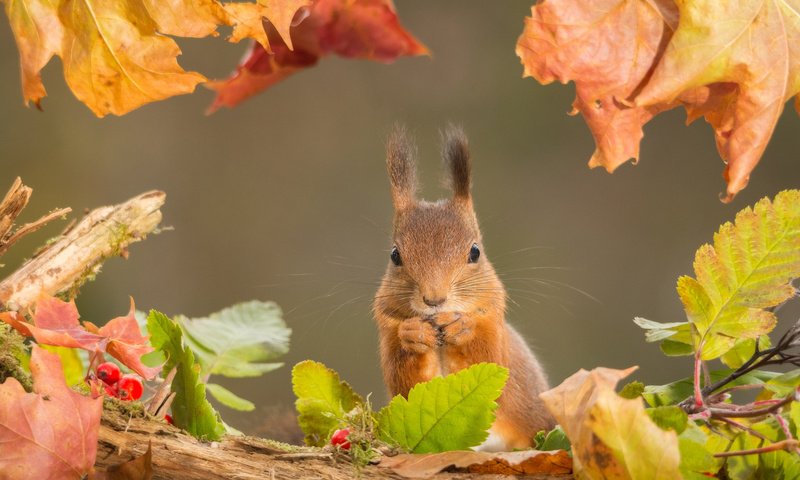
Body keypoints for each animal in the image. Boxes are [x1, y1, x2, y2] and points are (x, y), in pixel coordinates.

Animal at [372, 125, 552, 452]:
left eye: (475, 252)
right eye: (395, 255)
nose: (434, 299)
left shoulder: (494, 326)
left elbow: (489, 359)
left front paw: (462, 326)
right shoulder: (387, 330)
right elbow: (408, 384)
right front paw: (413, 334)